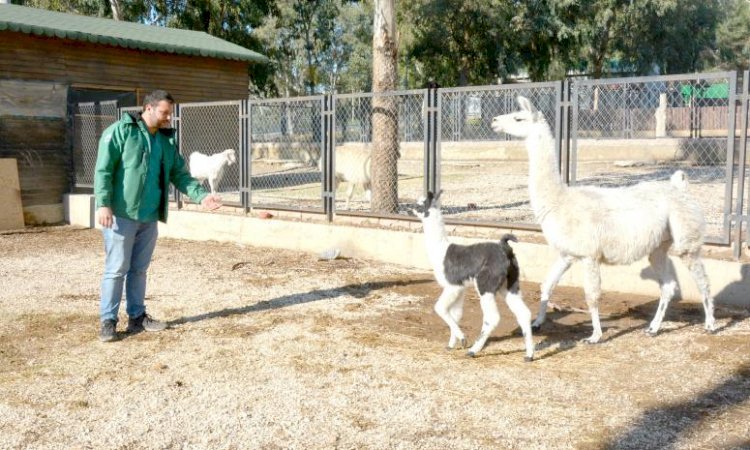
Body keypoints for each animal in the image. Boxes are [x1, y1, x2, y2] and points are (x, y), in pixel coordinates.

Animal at [418, 190, 536, 362]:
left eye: (420, 203)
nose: (410, 210)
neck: (440, 250)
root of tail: (504, 248)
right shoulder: (460, 289)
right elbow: (456, 314)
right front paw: (452, 344)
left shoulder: (452, 285)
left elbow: (440, 308)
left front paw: (462, 339)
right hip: (510, 284)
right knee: (524, 313)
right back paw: (529, 355)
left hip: (485, 284)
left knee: (492, 318)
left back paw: (473, 350)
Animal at [494, 96, 716, 344]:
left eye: (518, 118)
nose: (494, 121)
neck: (559, 200)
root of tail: (681, 187)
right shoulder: (567, 254)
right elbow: (547, 285)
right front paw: (538, 322)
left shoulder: (589, 254)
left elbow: (592, 296)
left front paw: (595, 336)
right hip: (659, 245)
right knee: (668, 286)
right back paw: (653, 328)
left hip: (687, 238)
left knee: (702, 280)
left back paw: (710, 324)